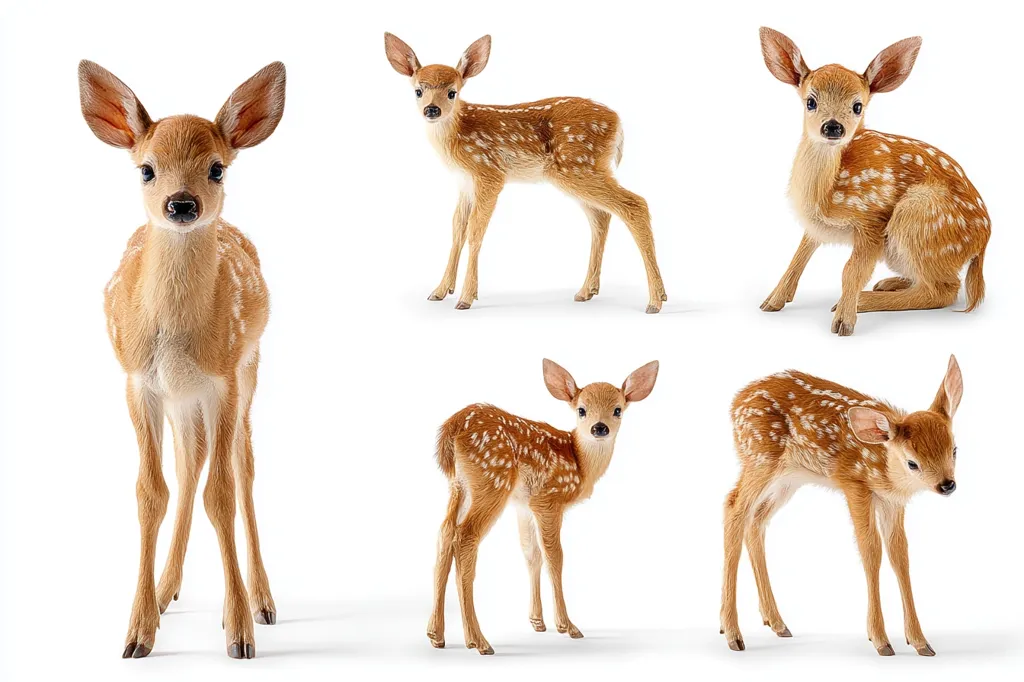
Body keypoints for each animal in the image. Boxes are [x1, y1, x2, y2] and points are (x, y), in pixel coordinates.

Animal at [79, 59, 286, 659]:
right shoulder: (137, 381)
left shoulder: (224, 379)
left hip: (249, 372)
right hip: (179, 398)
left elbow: (223, 494)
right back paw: (167, 590)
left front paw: (238, 631)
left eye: (217, 168)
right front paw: (136, 633)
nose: (182, 204)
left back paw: (263, 601)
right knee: (188, 465)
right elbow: (151, 493)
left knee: (241, 468)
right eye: (146, 170)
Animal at [383, 33, 667, 313]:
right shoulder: (464, 183)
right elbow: (457, 231)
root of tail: (618, 122)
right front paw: (440, 291)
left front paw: (466, 297)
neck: (456, 135)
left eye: (453, 92)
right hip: (579, 171)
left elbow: (475, 232)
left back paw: (655, 300)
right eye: (418, 91)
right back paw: (588, 291)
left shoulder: (489, 173)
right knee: (601, 217)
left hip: (577, 166)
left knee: (634, 204)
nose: (432, 109)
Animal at [428, 359, 659, 654]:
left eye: (617, 410)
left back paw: (436, 635)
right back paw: (478, 641)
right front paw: (567, 626)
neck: (580, 464)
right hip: (492, 480)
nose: (599, 428)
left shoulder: (524, 505)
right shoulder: (549, 500)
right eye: (581, 410)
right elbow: (555, 557)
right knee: (466, 537)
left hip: (458, 486)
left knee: (445, 533)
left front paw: (537, 622)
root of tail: (452, 428)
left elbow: (531, 554)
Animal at [720, 356, 963, 656]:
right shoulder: (854, 483)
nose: (947, 485)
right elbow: (871, 551)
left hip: (788, 478)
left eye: (955, 450)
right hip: (759, 456)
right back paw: (733, 634)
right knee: (734, 507)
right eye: (912, 463)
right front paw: (881, 640)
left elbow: (900, 556)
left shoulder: (892, 501)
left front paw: (920, 641)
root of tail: (736, 402)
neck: (885, 468)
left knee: (756, 519)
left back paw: (776, 623)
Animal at [758, 28, 990, 336]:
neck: (827, 192)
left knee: (944, 290)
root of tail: (983, 242)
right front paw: (772, 300)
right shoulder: (816, 225)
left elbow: (851, 271)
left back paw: (866, 299)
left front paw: (843, 321)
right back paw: (887, 284)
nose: (833, 127)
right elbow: (798, 256)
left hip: (918, 219)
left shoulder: (872, 221)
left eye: (857, 106)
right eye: (811, 101)